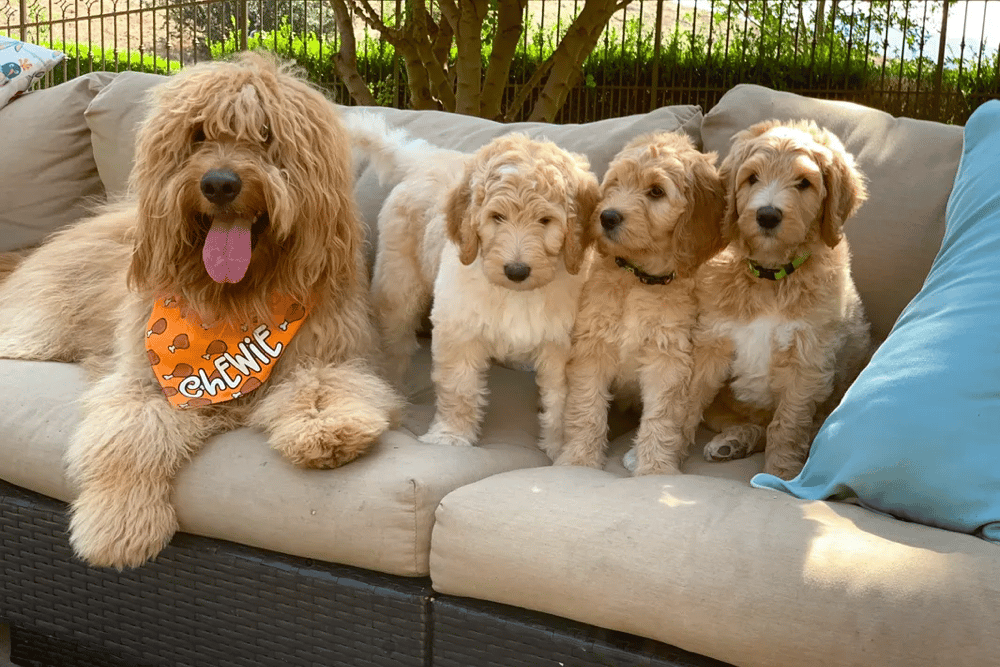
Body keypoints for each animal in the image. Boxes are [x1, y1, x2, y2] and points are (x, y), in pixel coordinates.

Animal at [0, 54, 402, 572]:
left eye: (266, 134)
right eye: (197, 134)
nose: (219, 183)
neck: (234, 301)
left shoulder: (330, 354)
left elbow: (324, 386)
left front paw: (327, 428)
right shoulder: (145, 380)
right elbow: (131, 438)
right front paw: (119, 523)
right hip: (35, 328)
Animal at [350, 115, 596, 460]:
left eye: (546, 221)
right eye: (497, 217)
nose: (516, 271)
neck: (515, 294)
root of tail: (426, 157)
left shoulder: (563, 342)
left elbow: (563, 401)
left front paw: (562, 448)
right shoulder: (459, 329)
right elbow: (459, 387)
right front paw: (450, 436)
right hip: (399, 282)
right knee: (392, 339)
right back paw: (391, 388)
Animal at [556, 132, 728, 474]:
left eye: (656, 191)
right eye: (615, 183)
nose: (607, 217)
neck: (639, 278)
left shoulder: (667, 357)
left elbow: (662, 417)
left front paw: (655, 470)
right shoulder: (592, 348)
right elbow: (586, 407)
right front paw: (579, 460)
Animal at [684, 120, 872, 480]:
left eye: (803, 183)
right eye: (751, 178)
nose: (767, 216)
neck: (770, 277)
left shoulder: (808, 359)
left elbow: (788, 426)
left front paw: (779, 476)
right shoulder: (712, 340)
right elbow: (684, 401)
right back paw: (733, 441)